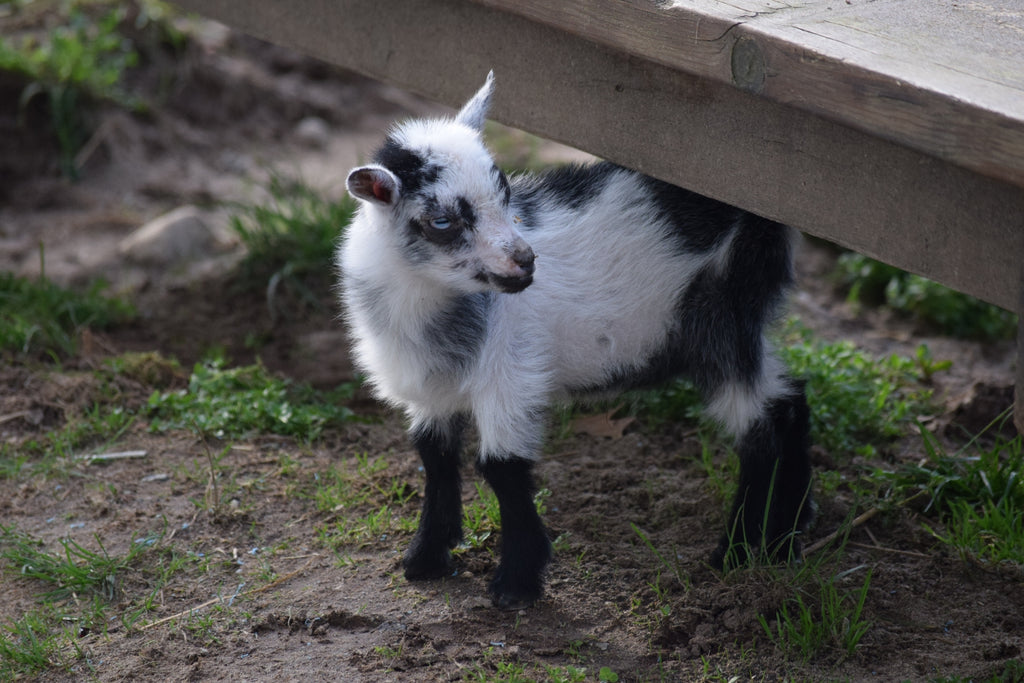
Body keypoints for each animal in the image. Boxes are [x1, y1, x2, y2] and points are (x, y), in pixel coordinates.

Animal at [338, 73, 814, 609]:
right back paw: (785, 537)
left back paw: (737, 550)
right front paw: (425, 559)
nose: (526, 261)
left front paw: (516, 584)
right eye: (442, 222)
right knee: (788, 403)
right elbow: (434, 459)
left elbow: (501, 467)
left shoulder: (510, 374)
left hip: (722, 315)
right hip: (735, 320)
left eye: (505, 192)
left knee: (760, 429)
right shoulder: (429, 389)